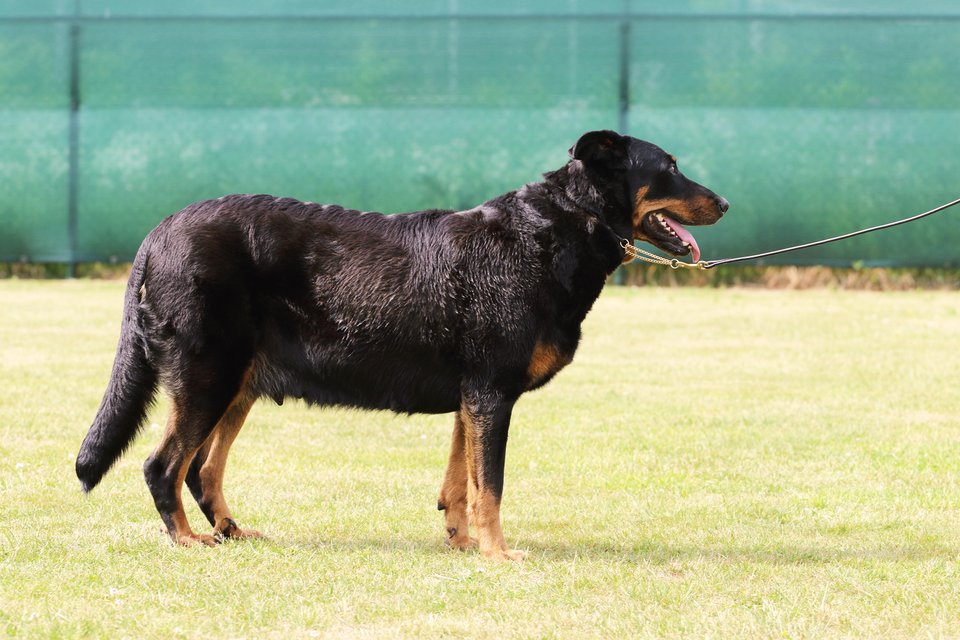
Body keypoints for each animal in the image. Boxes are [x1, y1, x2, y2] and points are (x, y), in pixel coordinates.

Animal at [76, 130, 728, 561]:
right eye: (669, 166)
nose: (723, 202)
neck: (553, 232)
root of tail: (156, 234)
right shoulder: (492, 394)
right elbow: (490, 486)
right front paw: (498, 554)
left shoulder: (473, 397)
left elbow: (461, 482)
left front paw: (463, 542)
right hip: (208, 376)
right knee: (164, 465)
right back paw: (187, 540)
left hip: (236, 384)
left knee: (201, 468)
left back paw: (230, 531)